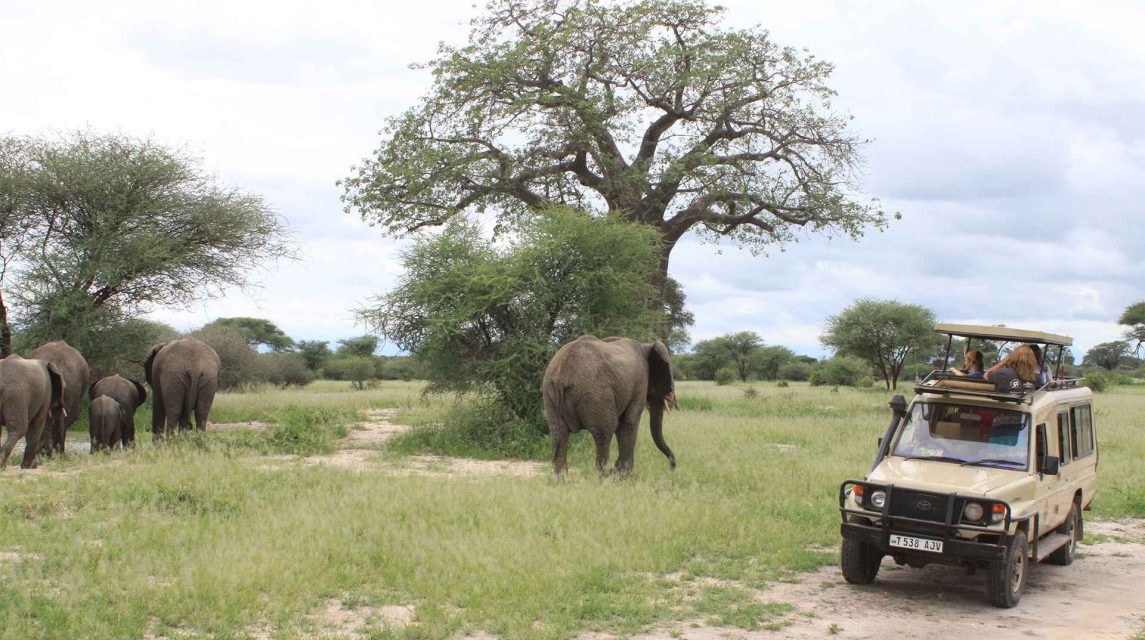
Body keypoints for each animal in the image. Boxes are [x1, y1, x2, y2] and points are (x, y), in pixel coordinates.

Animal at [540, 336, 673, 476]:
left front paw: (621, 473)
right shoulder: (640, 382)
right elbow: (629, 422)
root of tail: (562, 373)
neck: (646, 346)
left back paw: (563, 478)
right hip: (596, 394)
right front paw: (624, 475)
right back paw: (605, 476)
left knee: (559, 433)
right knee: (605, 433)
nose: (671, 467)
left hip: (550, 393)